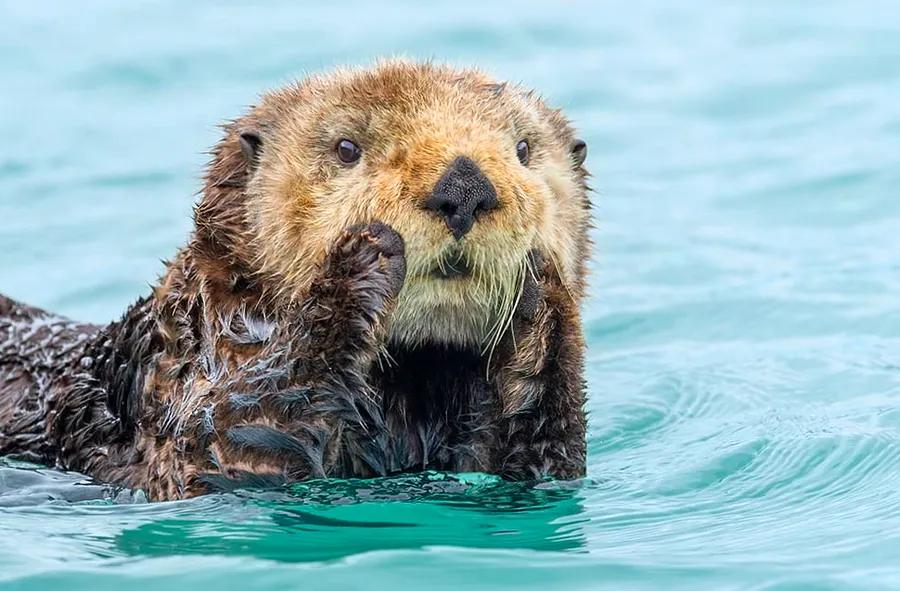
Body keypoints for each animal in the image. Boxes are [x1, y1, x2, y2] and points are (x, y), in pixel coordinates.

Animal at [0, 62, 596, 502]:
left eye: (523, 150)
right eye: (347, 149)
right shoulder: (176, 389)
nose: (465, 185)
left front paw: (544, 296)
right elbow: (225, 453)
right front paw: (362, 257)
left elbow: (538, 461)